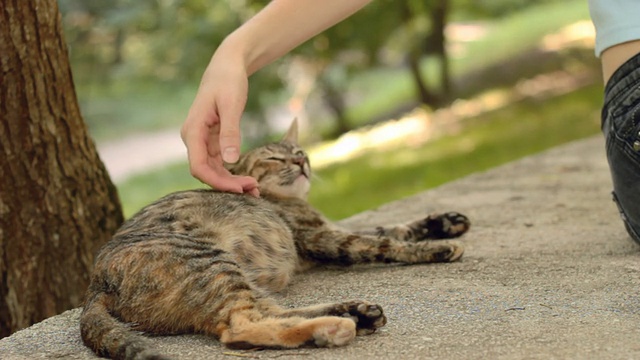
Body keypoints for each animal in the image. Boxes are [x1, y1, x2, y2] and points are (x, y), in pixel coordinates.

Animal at [80, 119, 470, 358]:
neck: (288, 200)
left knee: (269, 311)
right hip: (212, 263)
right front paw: (437, 246)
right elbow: (384, 243)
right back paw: (336, 326)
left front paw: (444, 222)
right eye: (272, 158)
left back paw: (354, 313)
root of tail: (95, 286)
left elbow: (390, 227)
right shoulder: (321, 236)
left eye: (299, 152)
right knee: (240, 327)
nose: (301, 163)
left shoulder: (328, 229)